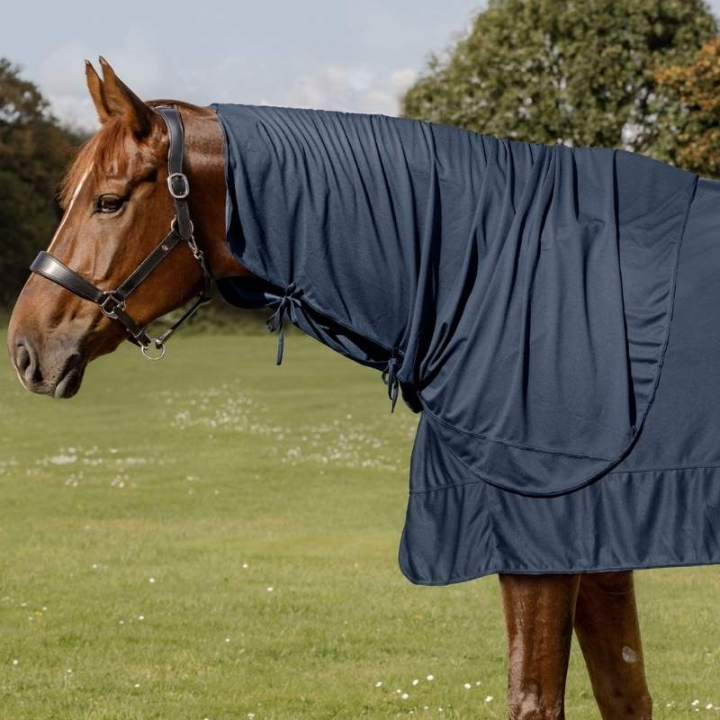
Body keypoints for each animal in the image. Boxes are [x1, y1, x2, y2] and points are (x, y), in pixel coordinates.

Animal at [7, 58, 655, 719]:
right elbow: (624, 689)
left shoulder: (542, 543)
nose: (25, 347)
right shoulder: (599, 550)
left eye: (108, 202)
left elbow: (538, 697)